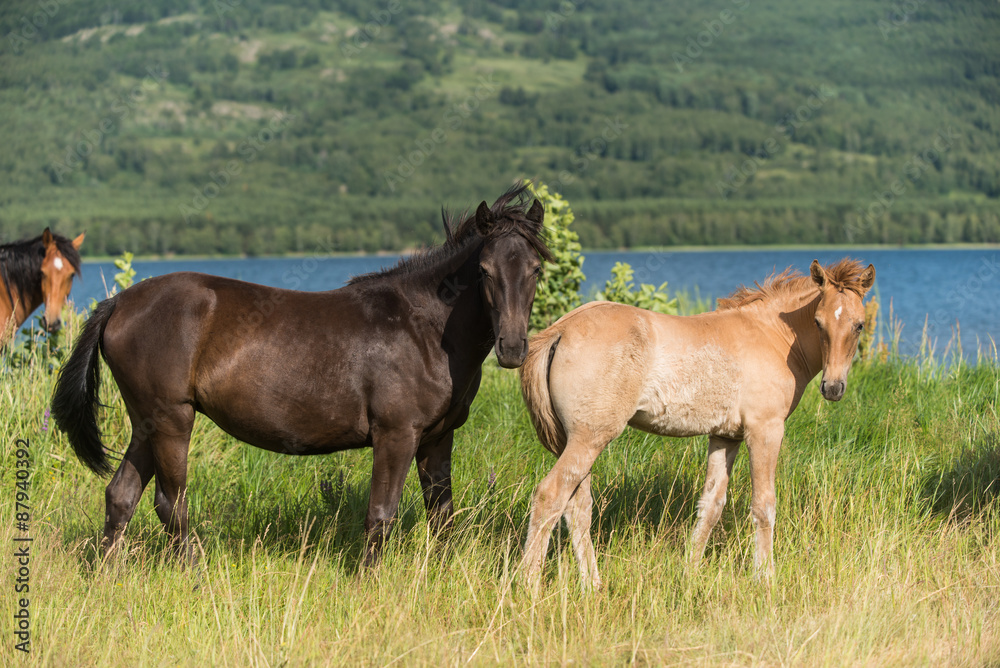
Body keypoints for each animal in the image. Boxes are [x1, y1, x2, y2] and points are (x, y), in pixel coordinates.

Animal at [51, 183, 552, 565]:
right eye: (484, 270)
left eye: (535, 268)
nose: (512, 348)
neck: (423, 328)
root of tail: (119, 302)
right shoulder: (396, 434)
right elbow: (381, 514)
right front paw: (368, 582)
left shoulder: (437, 437)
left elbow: (441, 513)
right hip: (174, 420)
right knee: (170, 504)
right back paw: (192, 573)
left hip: (147, 423)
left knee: (121, 495)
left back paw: (109, 576)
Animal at [518, 258, 876, 590]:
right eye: (818, 322)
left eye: (859, 325)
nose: (833, 388)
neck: (773, 337)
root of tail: (560, 330)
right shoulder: (765, 431)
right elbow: (763, 505)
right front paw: (765, 577)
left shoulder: (725, 437)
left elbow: (711, 505)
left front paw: (690, 571)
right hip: (590, 438)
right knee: (550, 496)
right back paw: (529, 585)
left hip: (577, 440)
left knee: (577, 508)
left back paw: (593, 585)